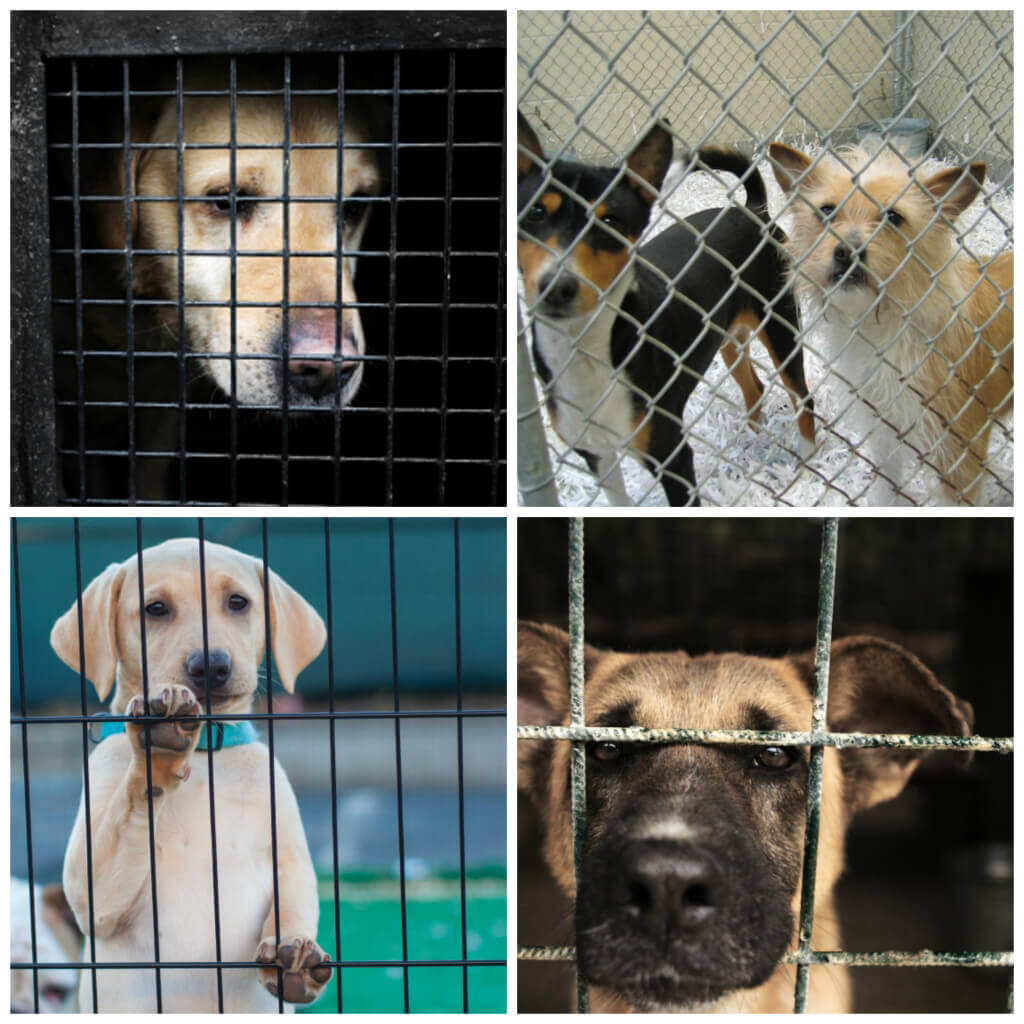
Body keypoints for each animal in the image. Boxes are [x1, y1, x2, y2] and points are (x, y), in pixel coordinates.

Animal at [50, 540, 327, 1011]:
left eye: (238, 602)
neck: (205, 755)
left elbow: (295, 900)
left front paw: (293, 958)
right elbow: (128, 812)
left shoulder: (289, 856)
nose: (211, 666)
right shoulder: (88, 890)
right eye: (155, 609)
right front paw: (154, 754)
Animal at [770, 145, 1011, 507]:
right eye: (827, 211)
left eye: (894, 217)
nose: (848, 252)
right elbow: (886, 492)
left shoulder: (960, 456)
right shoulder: (885, 436)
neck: (885, 327)